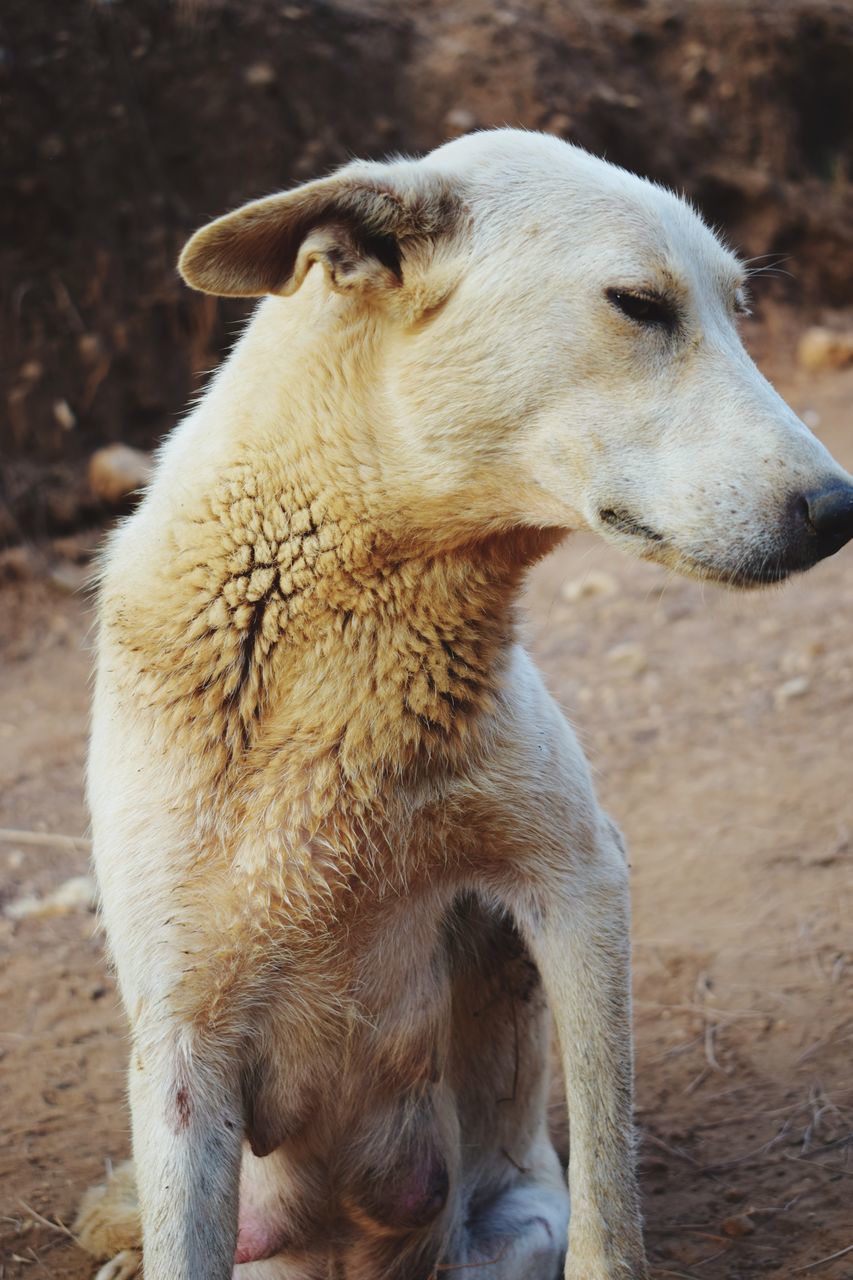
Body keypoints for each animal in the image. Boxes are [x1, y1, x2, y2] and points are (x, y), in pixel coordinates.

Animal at [71, 132, 850, 1280]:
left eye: (735, 309)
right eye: (639, 304)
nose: (841, 510)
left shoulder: (579, 881)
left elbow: (608, 1196)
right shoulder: (181, 1043)